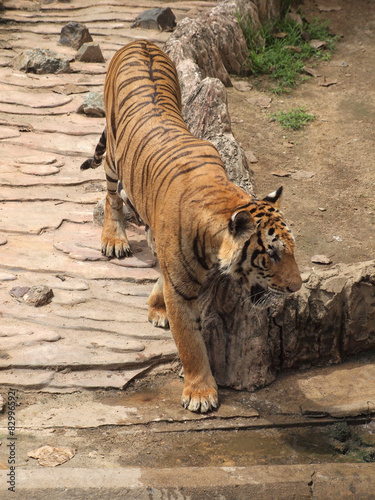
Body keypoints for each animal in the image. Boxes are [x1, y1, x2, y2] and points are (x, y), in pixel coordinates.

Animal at [81, 40, 302, 414]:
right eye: (272, 254)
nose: (297, 287)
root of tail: (140, 42)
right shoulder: (183, 290)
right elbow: (190, 343)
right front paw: (201, 394)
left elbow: (163, 275)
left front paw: (156, 305)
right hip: (113, 154)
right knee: (111, 195)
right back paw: (114, 238)